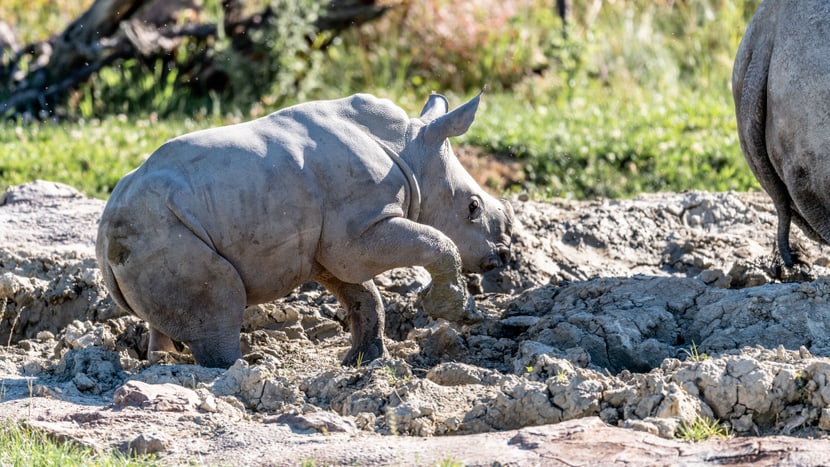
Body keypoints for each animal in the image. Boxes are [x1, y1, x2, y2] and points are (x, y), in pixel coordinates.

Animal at [96, 91, 512, 370]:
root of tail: (101, 241)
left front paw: (363, 362)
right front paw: (456, 310)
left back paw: (162, 362)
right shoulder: (361, 231)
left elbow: (362, 295)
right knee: (219, 304)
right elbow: (437, 242)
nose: (503, 257)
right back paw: (245, 367)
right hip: (162, 235)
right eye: (472, 208)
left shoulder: (328, 248)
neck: (411, 150)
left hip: (146, 235)